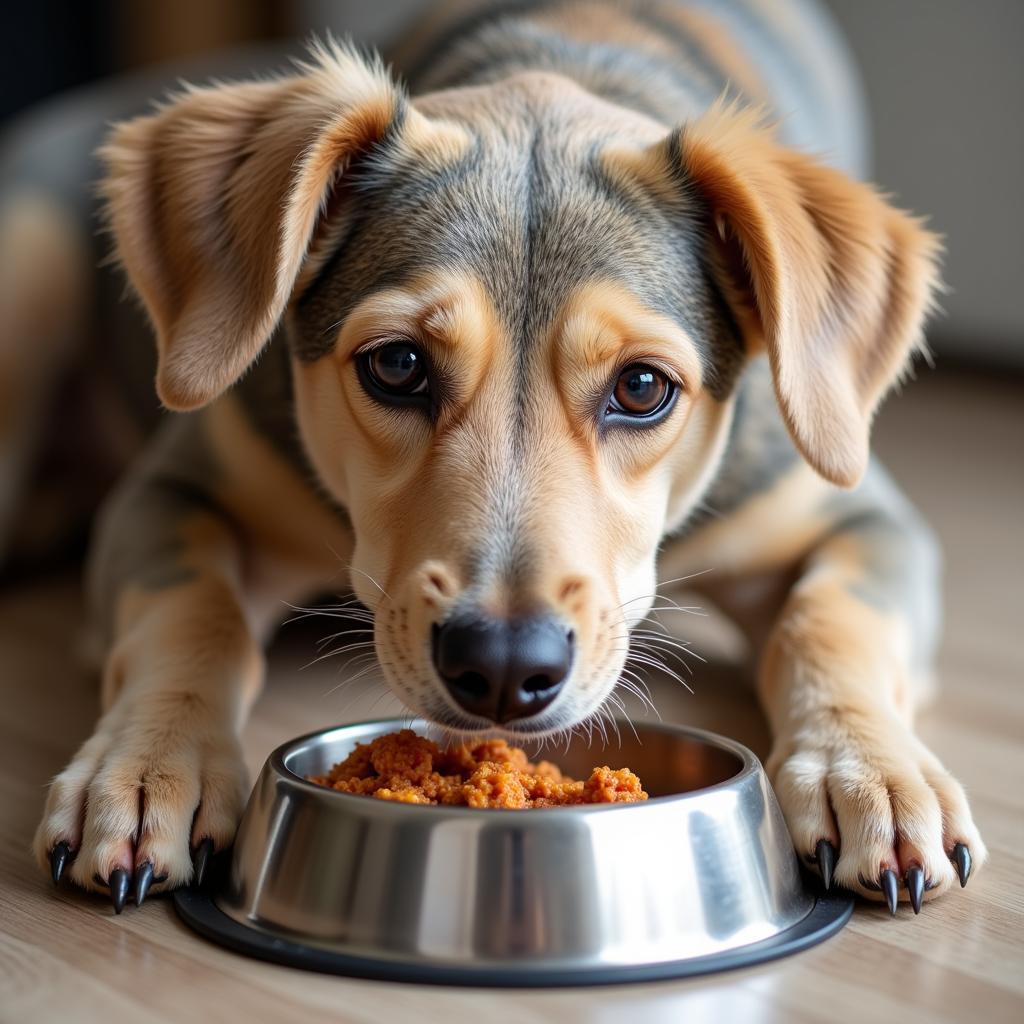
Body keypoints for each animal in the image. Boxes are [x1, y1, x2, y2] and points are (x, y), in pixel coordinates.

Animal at [6, 0, 983, 913]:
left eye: (642, 387)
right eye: (397, 365)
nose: (507, 668)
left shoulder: (862, 516)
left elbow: (830, 619)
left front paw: (873, 773)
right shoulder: (175, 489)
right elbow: (191, 612)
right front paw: (146, 766)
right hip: (33, 251)